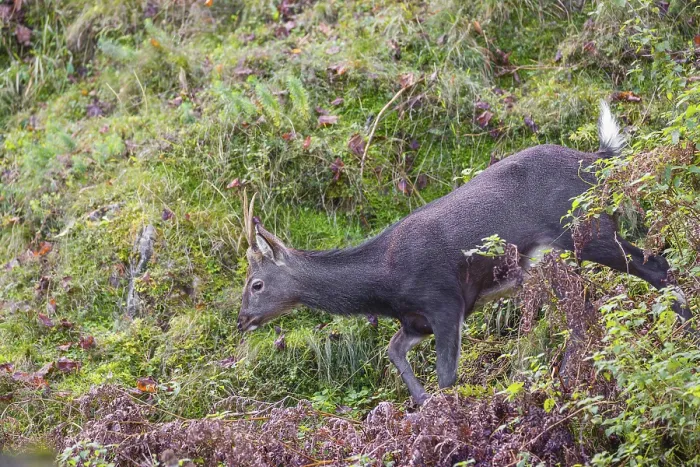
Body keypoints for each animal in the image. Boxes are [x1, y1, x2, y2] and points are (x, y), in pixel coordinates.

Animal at [237, 102, 693, 405]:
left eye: (256, 283)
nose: (242, 320)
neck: (385, 283)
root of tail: (598, 161)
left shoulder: (445, 300)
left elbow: (447, 376)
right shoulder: (416, 319)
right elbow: (393, 352)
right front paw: (421, 404)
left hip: (586, 230)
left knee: (656, 266)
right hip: (557, 258)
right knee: (586, 312)